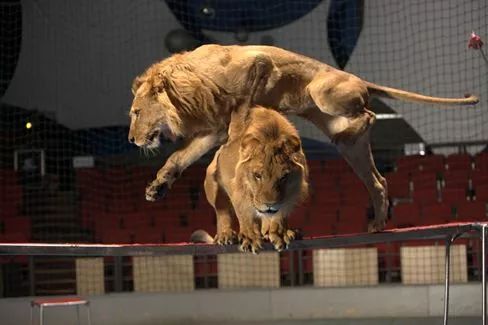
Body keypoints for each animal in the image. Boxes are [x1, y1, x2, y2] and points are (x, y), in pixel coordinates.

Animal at [127, 44, 478, 232]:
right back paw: (378, 222)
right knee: (378, 181)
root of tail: (358, 78)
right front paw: (157, 187)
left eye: (135, 112)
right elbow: (179, 157)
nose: (130, 140)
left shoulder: (259, 63)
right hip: (350, 145)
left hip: (322, 91)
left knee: (369, 114)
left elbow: (244, 105)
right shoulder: (211, 127)